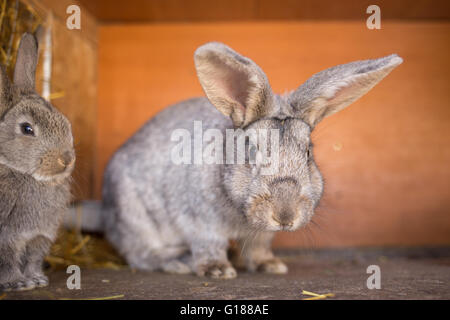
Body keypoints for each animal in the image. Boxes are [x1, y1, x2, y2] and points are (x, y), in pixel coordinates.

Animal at [0, 32, 75, 290]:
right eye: (27, 128)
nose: (67, 159)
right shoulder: (7, 237)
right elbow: (8, 260)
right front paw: (17, 284)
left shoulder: (39, 236)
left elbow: (33, 258)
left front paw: (37, 279)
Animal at [101, 42, 400, 278]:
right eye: (251, 150)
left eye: (308, 153)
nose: (285, 216)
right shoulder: (200, 222)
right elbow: (208, 245)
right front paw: (217, 270)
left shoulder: (261, 234)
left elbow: (258, 248)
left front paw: (271, 266)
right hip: (135, 215)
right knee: (140, 253)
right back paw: (179, 262)